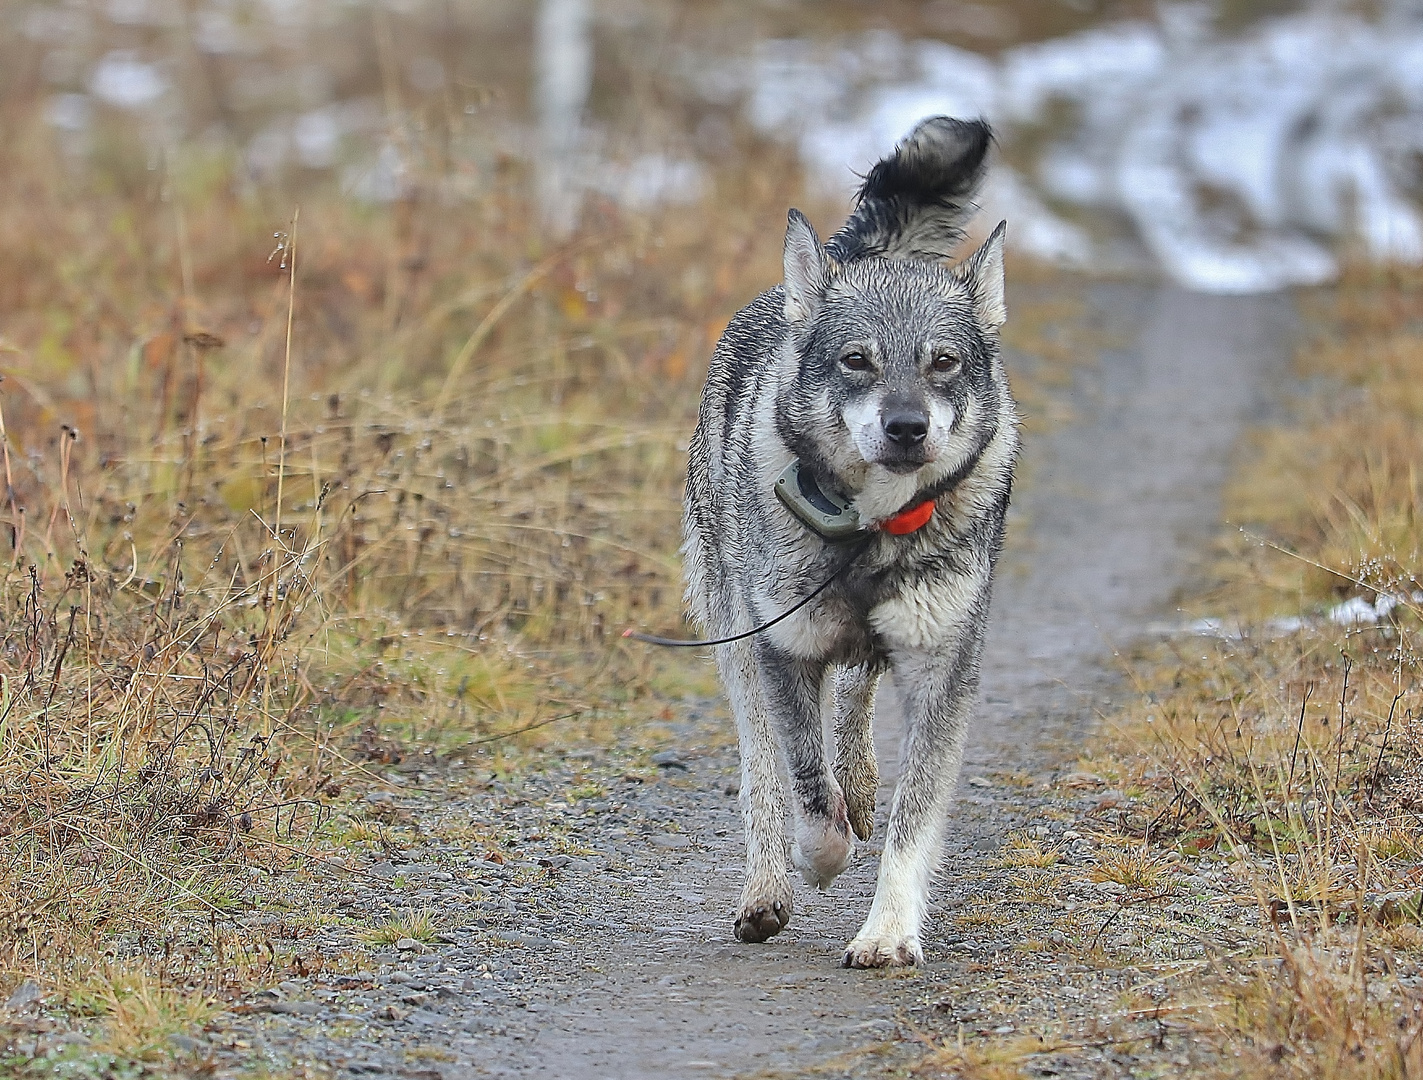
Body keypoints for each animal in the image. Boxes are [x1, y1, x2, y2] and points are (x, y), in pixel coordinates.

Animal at [683, 113, 1018, 967]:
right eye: (856, 361)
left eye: (943, 363)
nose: (906, 427)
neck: (872, 531)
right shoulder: (785, 648)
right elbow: (804, 782)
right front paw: (821, 856)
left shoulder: (941, 671)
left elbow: (912, 816)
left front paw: (888, 932)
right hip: (737, 644)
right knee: (764, 771)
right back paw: (767, 888)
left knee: (858, 693)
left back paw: (859, 784)